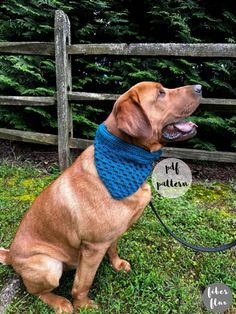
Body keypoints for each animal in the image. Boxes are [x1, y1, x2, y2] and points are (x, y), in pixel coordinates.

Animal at [0, 82, 202, 312]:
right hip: (49, 266)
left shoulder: (111, 236)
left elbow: (113, 248)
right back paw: (60, 303)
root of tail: (10, 255)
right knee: (35, 291)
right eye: (161, 93)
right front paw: (82, 305)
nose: (199, 87)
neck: (122, 159)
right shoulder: (93, 247)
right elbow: (83, 283)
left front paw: (117, 264)